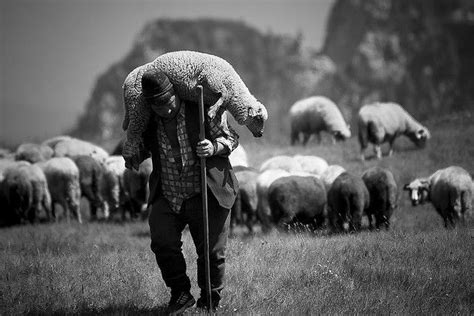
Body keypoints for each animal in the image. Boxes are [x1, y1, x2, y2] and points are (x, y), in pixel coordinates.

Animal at [120, 50, 268, 170]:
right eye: (258, 118)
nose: (261, 134)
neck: (233, 88)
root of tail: (126, 82)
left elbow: (222, 114)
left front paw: (221, 123)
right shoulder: (212, 77)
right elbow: (223, 94)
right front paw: (212, 112)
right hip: (137, 104)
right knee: (133, 131)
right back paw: (129, 157)